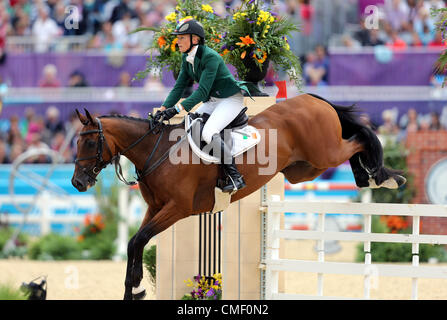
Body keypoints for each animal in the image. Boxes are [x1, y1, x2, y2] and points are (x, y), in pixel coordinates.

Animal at [71, 93, 406, 300]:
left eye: (88, 144)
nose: (77, 183)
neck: (159, 151)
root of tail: (311, 99)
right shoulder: (155, 208)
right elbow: (133, 242)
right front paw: (134, 288)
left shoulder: (177, 209)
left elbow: (139, 240)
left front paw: (137, 287)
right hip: (304, 169)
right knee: (351, 145)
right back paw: (372, 177)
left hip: (325, 152)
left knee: (359, 138)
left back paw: (383, 177)